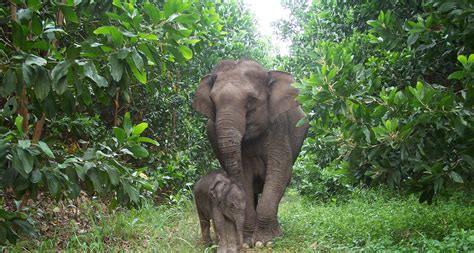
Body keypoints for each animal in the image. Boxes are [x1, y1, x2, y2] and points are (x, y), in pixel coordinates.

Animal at [193, 59, 308, 247]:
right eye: (213, 102)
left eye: (250, 101)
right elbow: (245, 175)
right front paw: (248, 242)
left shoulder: (279, 128)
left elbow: (280, 170)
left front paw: (265, 241)